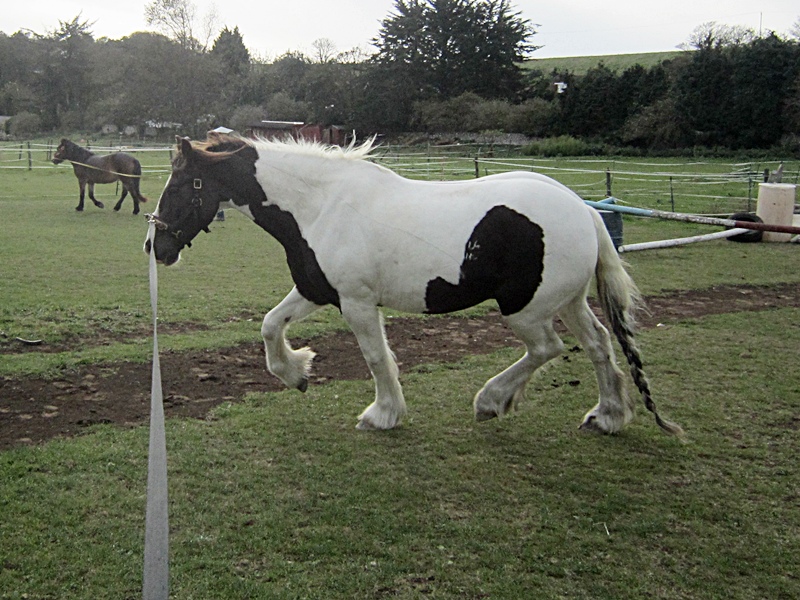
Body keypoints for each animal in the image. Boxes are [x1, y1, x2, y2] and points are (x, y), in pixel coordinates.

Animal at [144, 133, 683, 436]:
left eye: (183, 185)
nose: (156, 246)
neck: (320, 206)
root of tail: (584, 210)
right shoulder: (319, 290)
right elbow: (270, 325)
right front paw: (296, 373)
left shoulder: (357, 303)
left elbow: (376, 358)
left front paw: (383, 415)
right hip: (568, 301)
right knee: (598, 344)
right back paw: (607, 416)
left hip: (525, 310)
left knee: (548, 349)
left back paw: (491, 401)